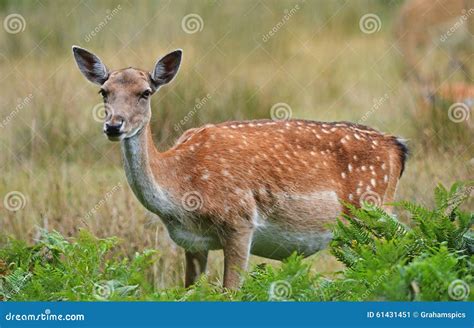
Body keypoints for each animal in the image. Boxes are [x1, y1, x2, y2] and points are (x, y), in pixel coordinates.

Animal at [72, 46, 410, 290]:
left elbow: (230, 291)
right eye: (104, 91)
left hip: (371, 207)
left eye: (145, 92)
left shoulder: (239, 221)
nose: (114, 125)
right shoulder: (191, 242)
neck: (180, 189)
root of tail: (397, 147)